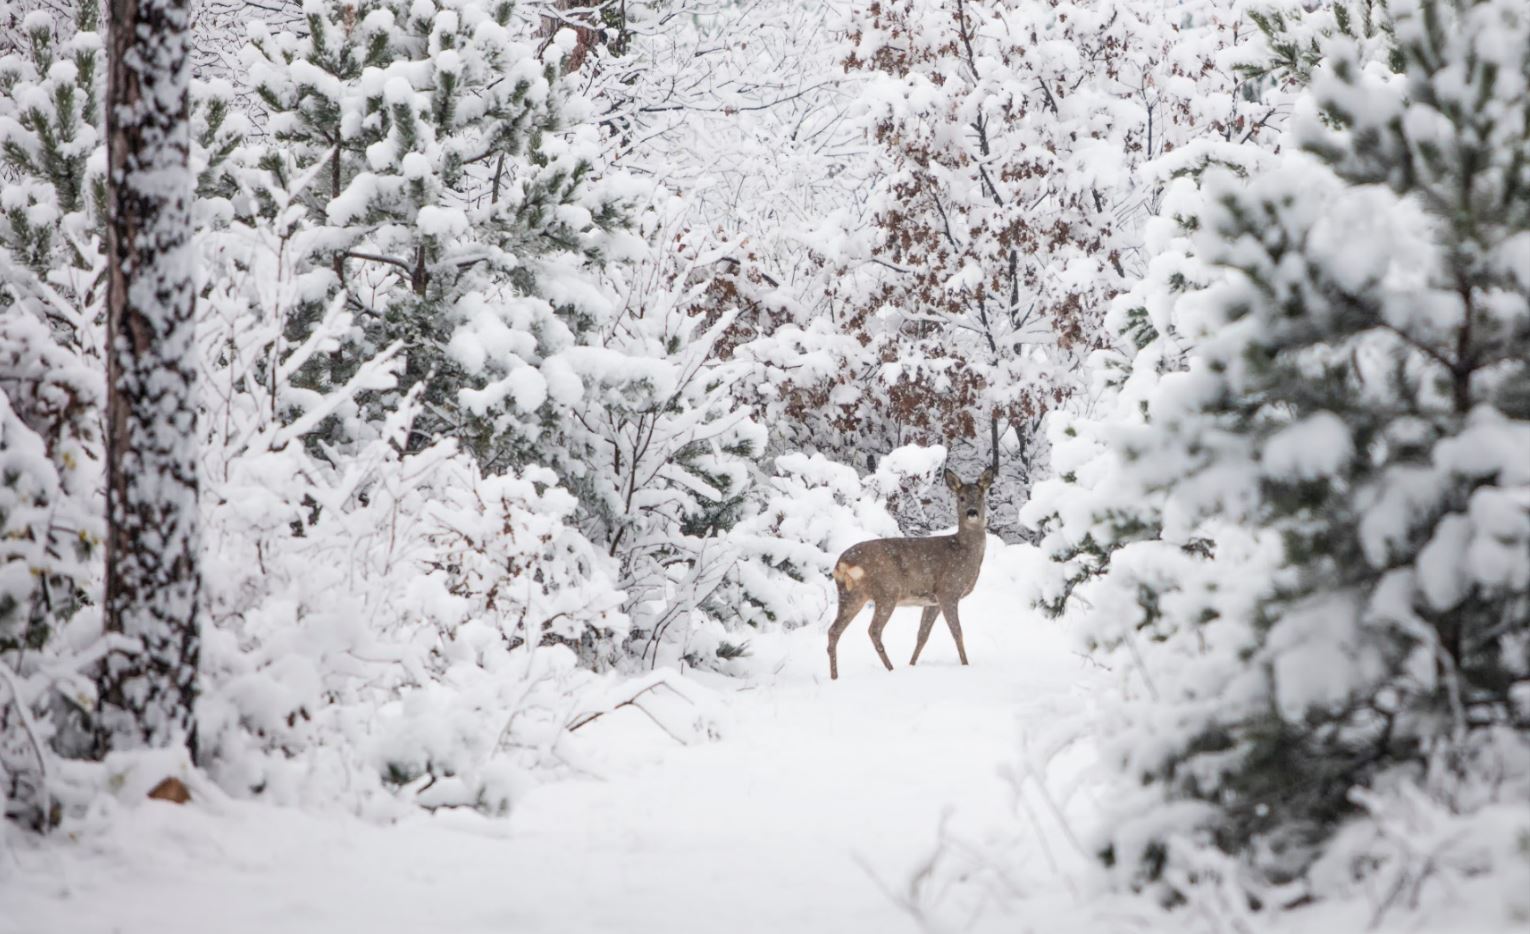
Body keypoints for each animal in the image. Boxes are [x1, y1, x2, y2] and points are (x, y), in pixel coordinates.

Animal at [826, 465, 991, 676]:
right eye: (961, 498)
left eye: (980, 495)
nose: (972, 512)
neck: (964, 552)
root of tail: (841, 564)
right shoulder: (948, 591)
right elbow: (957, 632)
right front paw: (965, 665)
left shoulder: (932, 601)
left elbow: (922, 635)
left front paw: (912, 664)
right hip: (887, 591)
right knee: (873, 630)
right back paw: (890, 669)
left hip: (851, 594)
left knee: (834, 631)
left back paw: (835, 677)